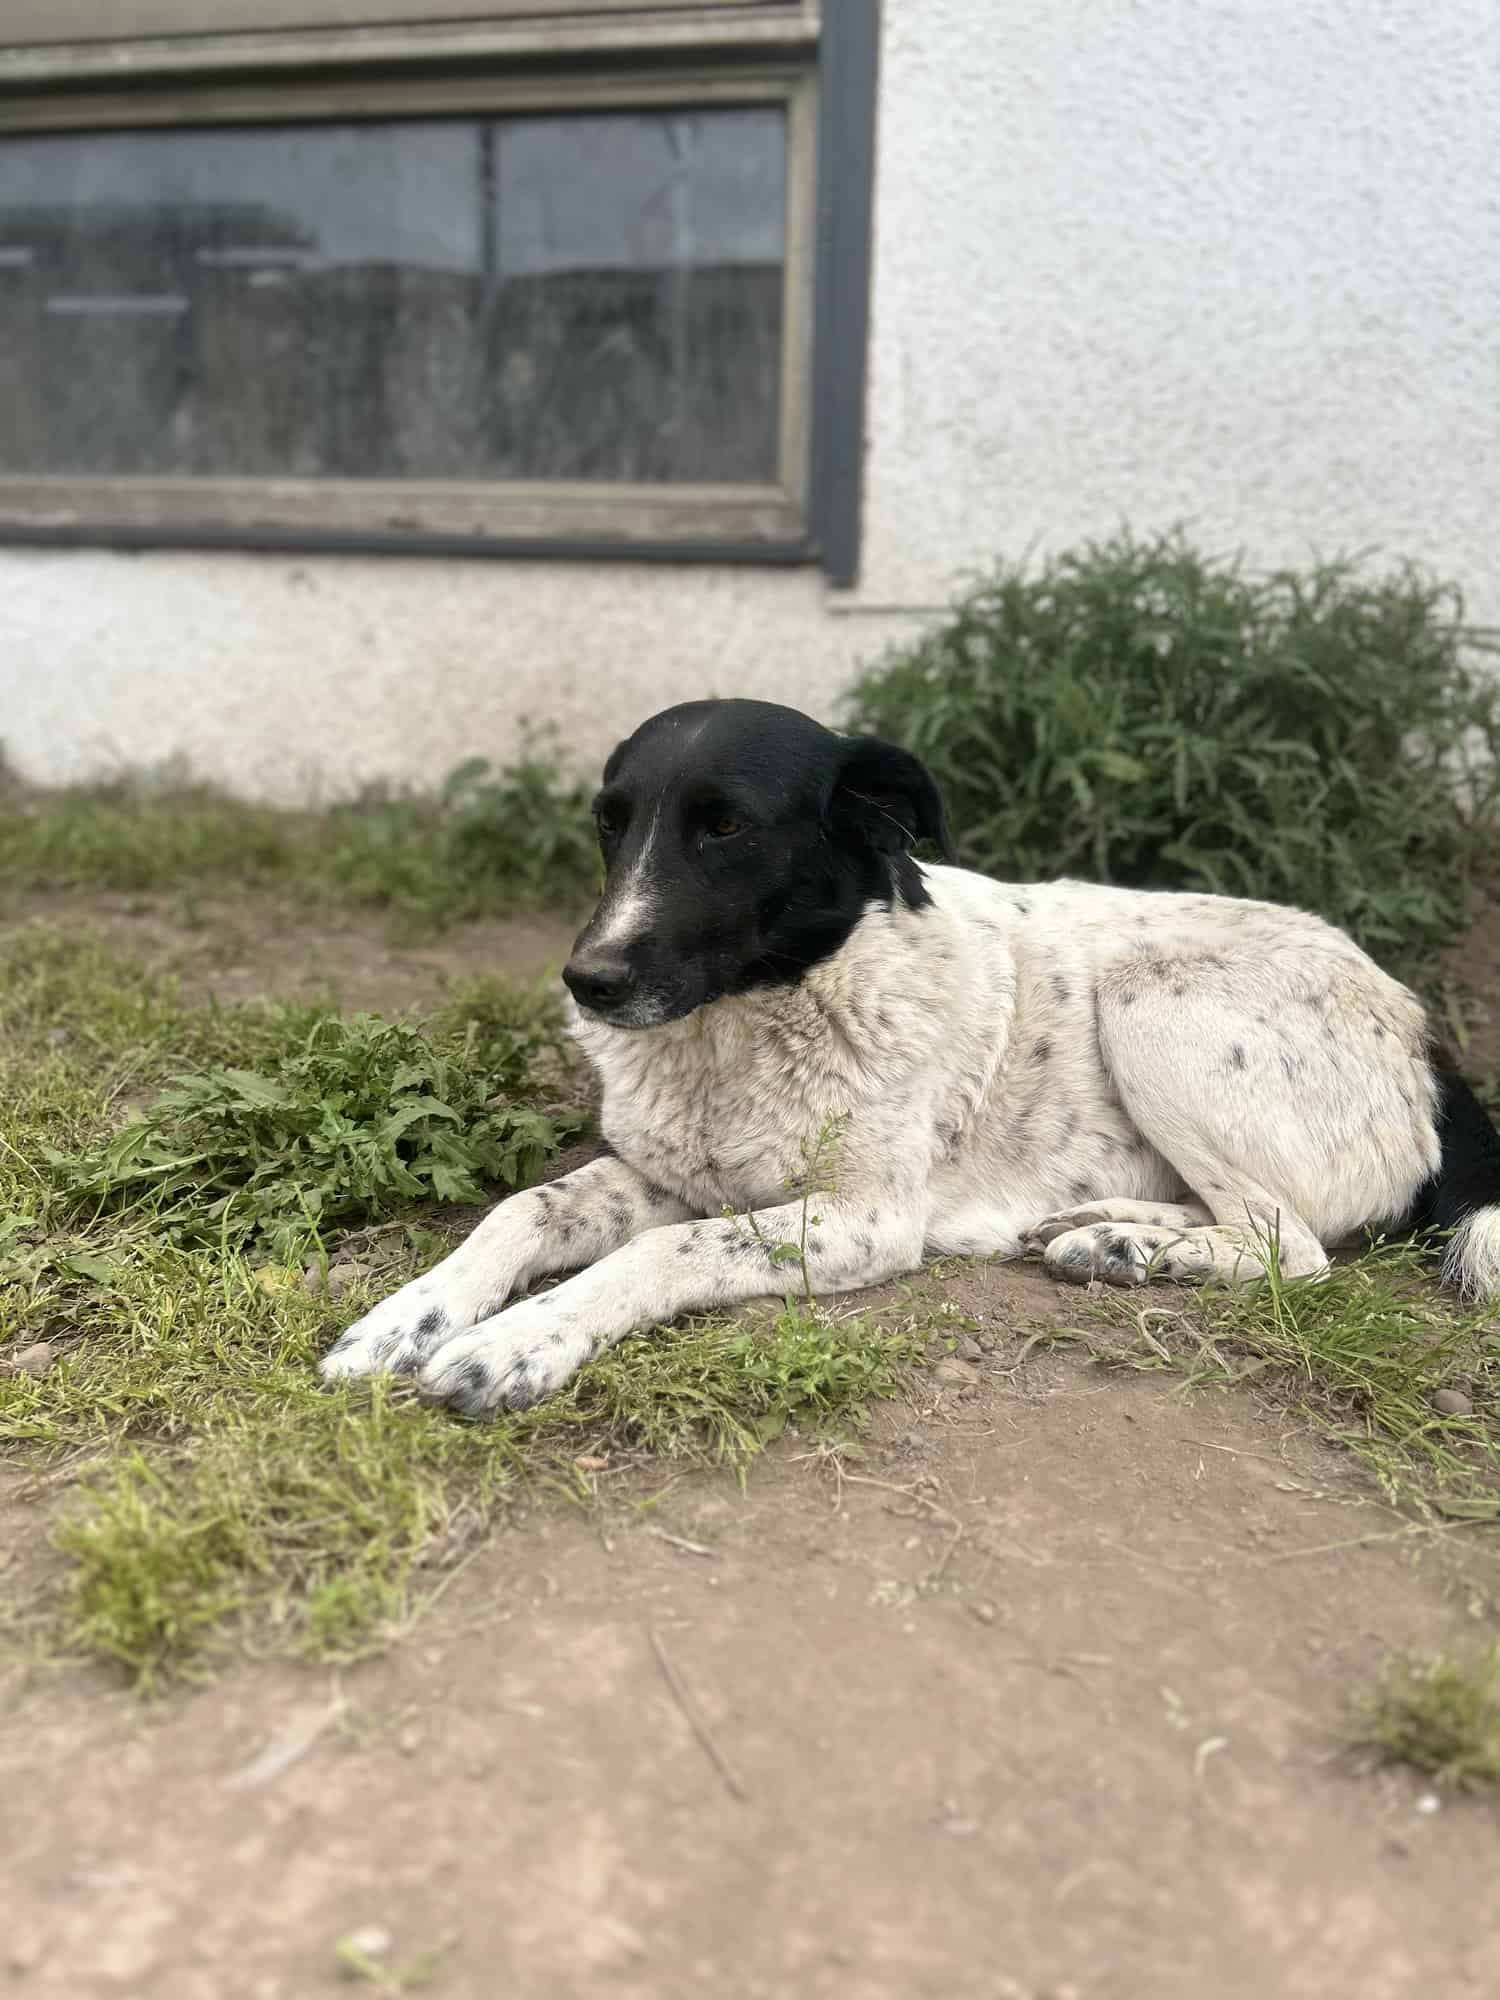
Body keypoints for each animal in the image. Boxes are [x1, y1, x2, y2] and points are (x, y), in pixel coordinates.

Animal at [324, 696, 1500, 1416]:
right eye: (612, 824)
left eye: (726, 827)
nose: (591, 980)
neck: (761, 1013)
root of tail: (1421, 1027)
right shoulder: (675, 1174)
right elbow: (519, 1210)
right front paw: (403, 1319)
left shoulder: (860, 1219)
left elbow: (658, 1253)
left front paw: (520, 1343)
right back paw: (1101, 1228)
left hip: (1150, 1006)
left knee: (1290, 1243)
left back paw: (1132, 1247)